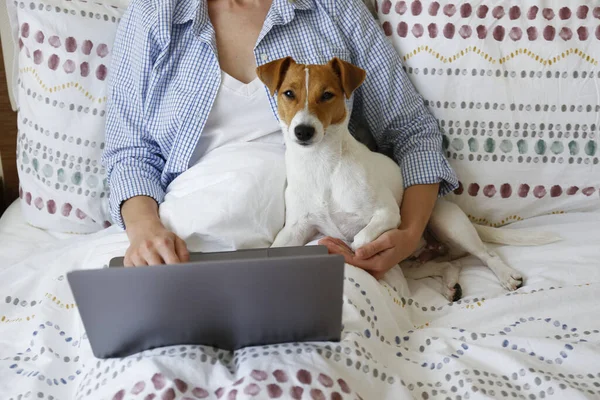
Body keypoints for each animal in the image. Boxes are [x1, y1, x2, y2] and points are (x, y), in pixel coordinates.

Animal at [255, 56, 560, 300]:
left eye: (327, 95)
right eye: (289, 93)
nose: (303, 131)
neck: (322, 166)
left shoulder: (387, 214)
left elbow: (361, 240)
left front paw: (355, 252)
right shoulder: (296, 228)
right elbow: (278, 246)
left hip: (444, 221)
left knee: (486, 253)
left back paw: (505, 275)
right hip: (419, 262)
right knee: (448, 264)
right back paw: (450, 283)